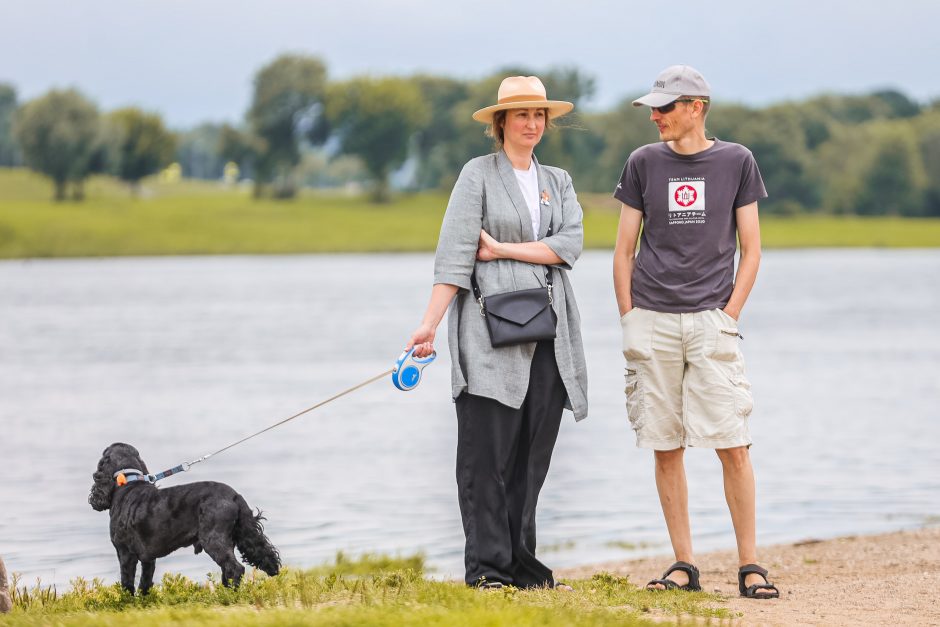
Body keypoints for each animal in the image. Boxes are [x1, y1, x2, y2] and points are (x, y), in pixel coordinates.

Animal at [87, 442, 280, 592]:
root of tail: (234, 495)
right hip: (231, 538)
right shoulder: (148, 558)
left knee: (235, 568)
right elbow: (145, 583)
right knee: (230, 569)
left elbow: (127, 583)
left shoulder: (125, 552)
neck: (127, 481)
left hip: (213, 539)